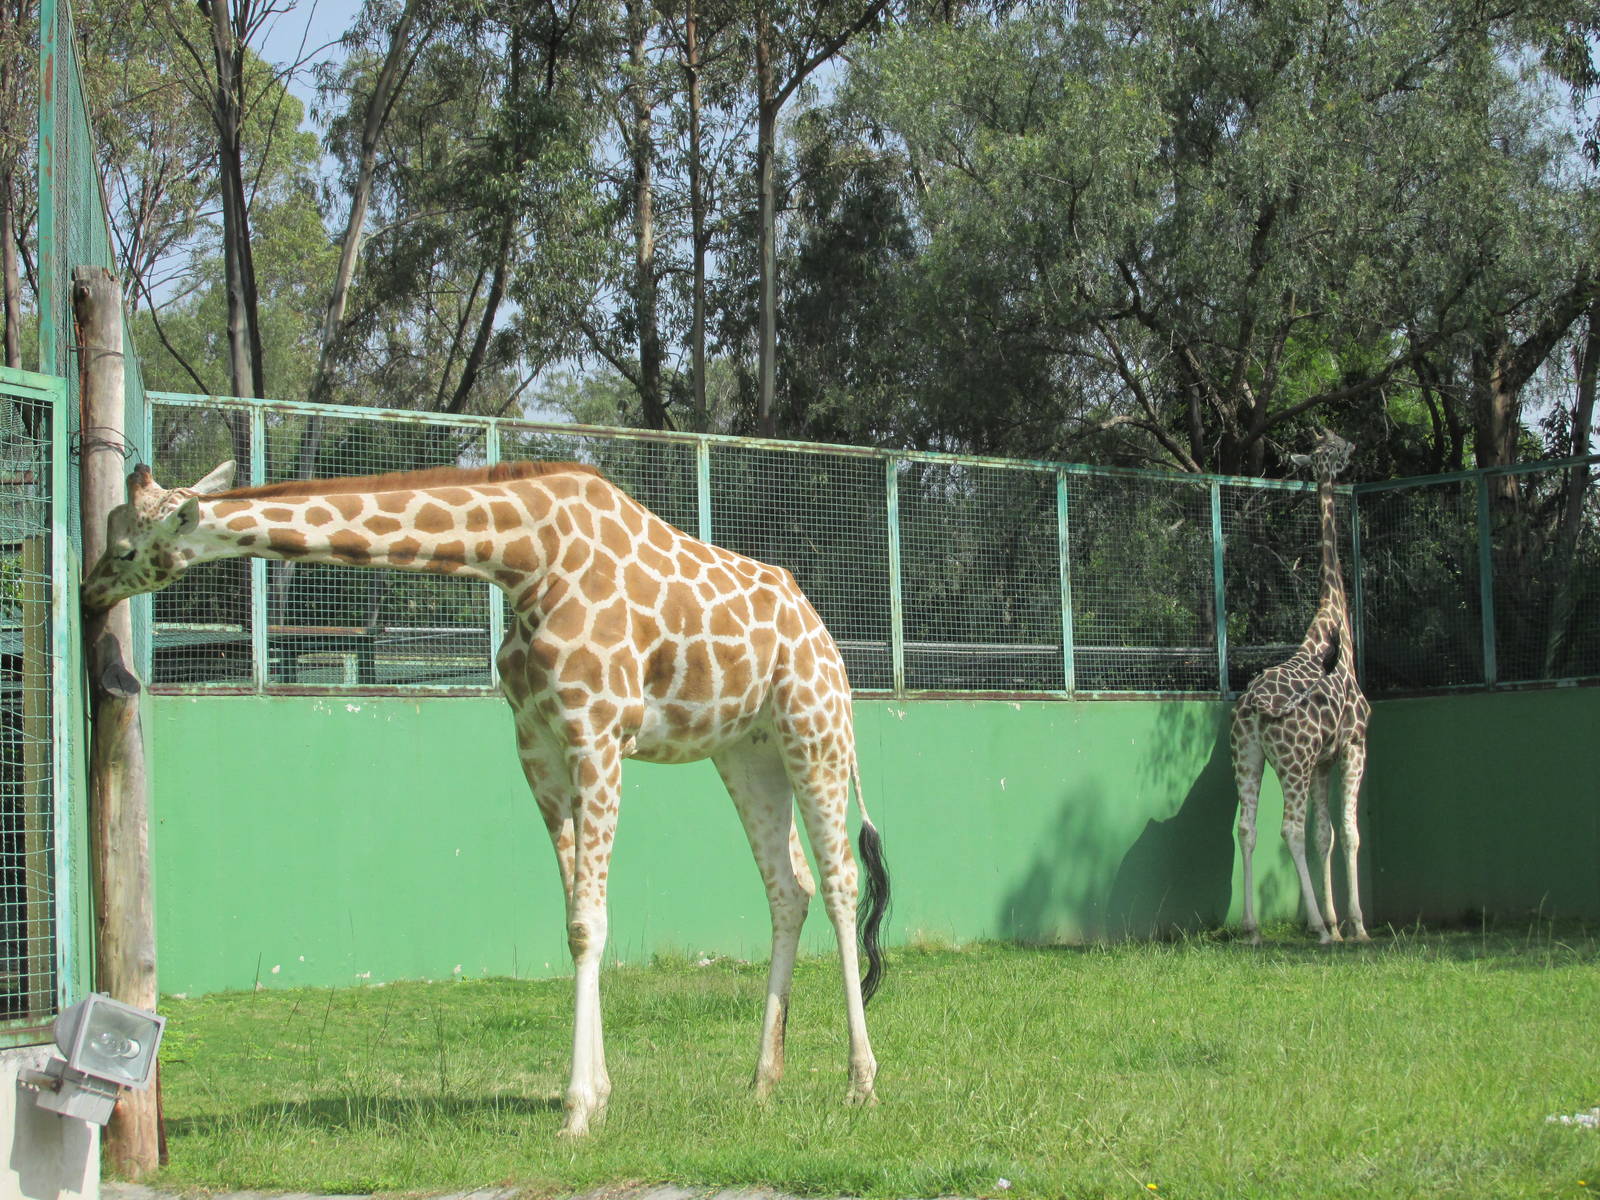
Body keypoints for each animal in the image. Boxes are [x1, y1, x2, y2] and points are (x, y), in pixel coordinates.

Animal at [82, 457, 891, 1137]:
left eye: (124, 548)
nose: (89, 591)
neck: (523, 557)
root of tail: (826, 637)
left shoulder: (598, 733)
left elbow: (590, 921)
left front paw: (575, 1112)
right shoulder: (537, 747)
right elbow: (576, 921)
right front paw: (598, 1096)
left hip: (815, 731)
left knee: (841, 883)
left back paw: (860, 1082)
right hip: (746, 751)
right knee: (789, 887)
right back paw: (762, 1081)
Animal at [1231, 427, 1372, 946]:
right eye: (1334, 448)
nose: (1353, 449)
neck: (1334, 623)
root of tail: (1252, 708)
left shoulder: (1324, 761)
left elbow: (1324, 835)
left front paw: (1336, 919)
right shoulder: (1353, 745)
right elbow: (1347, 832)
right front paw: (1354, 926)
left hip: (1248, 756)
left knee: (1247, 827)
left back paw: (1252, 928)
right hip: (1292, 762)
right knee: (1287, 829)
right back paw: (1317, 929)